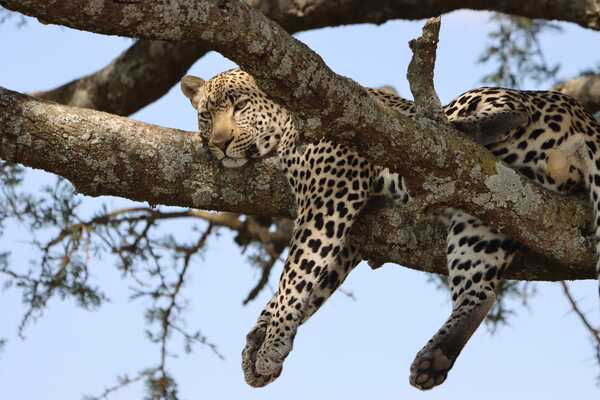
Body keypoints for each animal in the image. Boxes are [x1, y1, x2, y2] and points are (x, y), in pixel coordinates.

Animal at [180, 69, 596, 390]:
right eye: (205, 116)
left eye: (240, 105)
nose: (220, 142)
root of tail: (583, 118)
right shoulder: (351, 233)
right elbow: (313, 280)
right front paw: (260, 339)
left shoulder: (331, 195)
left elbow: (296, 273)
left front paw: (271, 342)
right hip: (484, 221)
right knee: (480, 294)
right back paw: (435, 358)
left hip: (477, 108)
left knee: (497, 113)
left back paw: (452, 131)